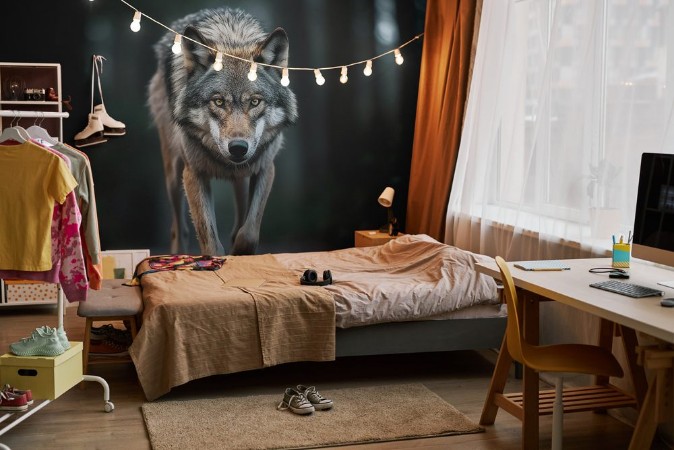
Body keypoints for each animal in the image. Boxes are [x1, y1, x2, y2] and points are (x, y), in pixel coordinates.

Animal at [148, 8, 298, 255]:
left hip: (242, 178)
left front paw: (240, 252)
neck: (232, 40)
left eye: (255, 102)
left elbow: (248, 233)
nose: (238, 148)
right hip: (173, 176)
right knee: (178, 229)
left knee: (238, 221)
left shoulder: (265, 168)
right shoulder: (193, 173)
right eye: (218, 101)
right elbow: (209, 239)